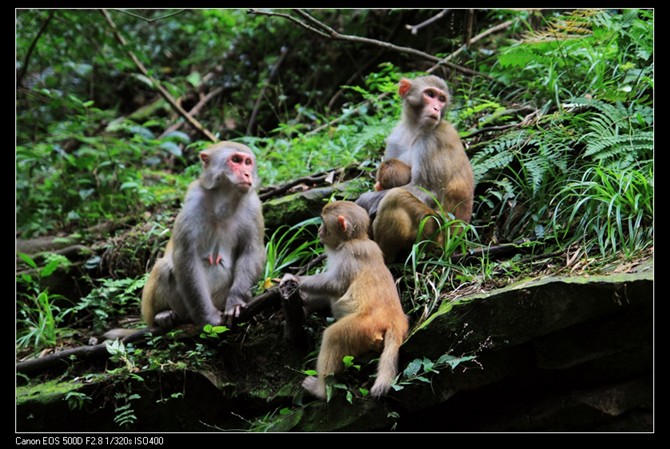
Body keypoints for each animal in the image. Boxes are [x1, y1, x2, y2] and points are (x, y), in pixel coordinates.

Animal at [142, 142, 268, 328]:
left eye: (247, 162)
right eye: (235, 160)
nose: (247, 174)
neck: (224, 200)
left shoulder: (253, 205)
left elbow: (251, 251)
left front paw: (236, 301)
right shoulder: (194, 200)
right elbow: (186, 255)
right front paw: (207, 316)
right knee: (164, 267)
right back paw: (162, 315)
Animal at [282, 201, 410, 398]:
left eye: (323, 223)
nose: (319, 230)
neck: (353, 240)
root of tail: (397, 320)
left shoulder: (349, 254)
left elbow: (336, 285)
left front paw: (295, 280)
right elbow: (331, 292)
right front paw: (302, 302)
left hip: (364, 327)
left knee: (334, 336)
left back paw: (320, 390)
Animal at [356, 75, 478, 260]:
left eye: (441, 99)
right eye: (430, 94)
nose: (436, 108)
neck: (414, 129)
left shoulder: (432, 141)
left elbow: (426, 190)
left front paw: (364, 200)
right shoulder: (395, 138)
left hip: (433, 236)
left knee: (395, 198)